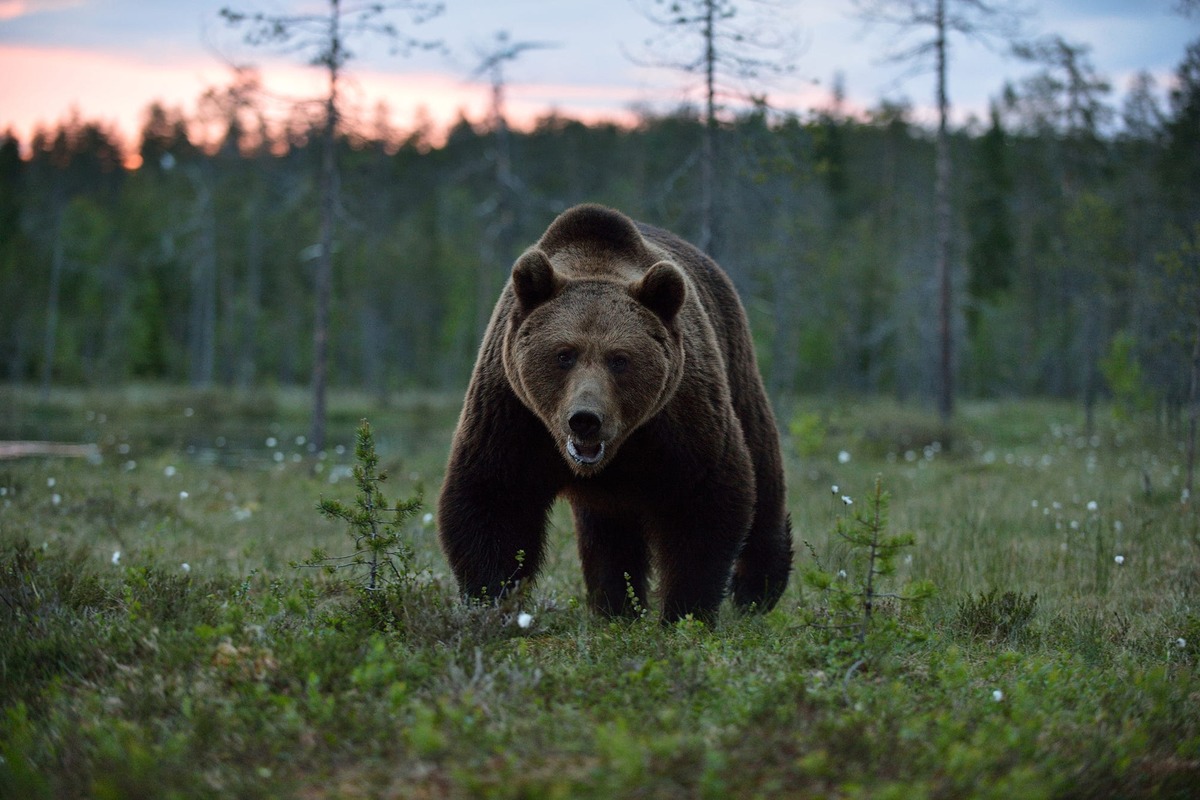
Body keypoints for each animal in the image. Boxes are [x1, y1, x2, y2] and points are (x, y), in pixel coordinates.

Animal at [436, 203, 792, 623]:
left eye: (619, 359)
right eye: (564, 354)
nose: (585, 418)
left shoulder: (680, 418)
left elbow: (705, 499)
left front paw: (685, 612)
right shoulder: (513, 413)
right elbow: (494, 499)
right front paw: (491, 602)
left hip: (736, 363)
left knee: (762, 470)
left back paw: (759, 589)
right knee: (608, 533)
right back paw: (614, 605)